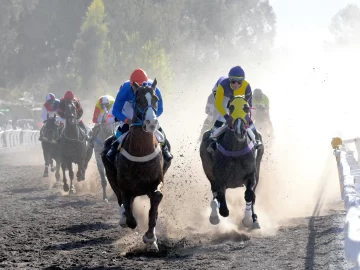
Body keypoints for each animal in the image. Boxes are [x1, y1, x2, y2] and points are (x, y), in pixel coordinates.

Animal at [101, 79, 172, 252]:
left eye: (156, 99)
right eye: (138, 100)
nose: (151, 122)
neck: (140, 152)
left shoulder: (157, 182)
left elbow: (156, 201)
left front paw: (150, 238)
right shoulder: (125, 187)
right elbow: (129, 214)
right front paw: (128, 219)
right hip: (110, 174)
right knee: (120, 199)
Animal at [200, 96, 264, 229]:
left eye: (246, 108)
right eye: (231, 108)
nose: (239, 130)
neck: (236, 149)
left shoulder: (252, 174)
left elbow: (249, 194)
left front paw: (248, 220)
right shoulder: (219, 178)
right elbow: (222, 205)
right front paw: (218, 213)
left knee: (253, 195)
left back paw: (254, 220)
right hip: (208, 170)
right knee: (214, 193)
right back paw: (214, 215)